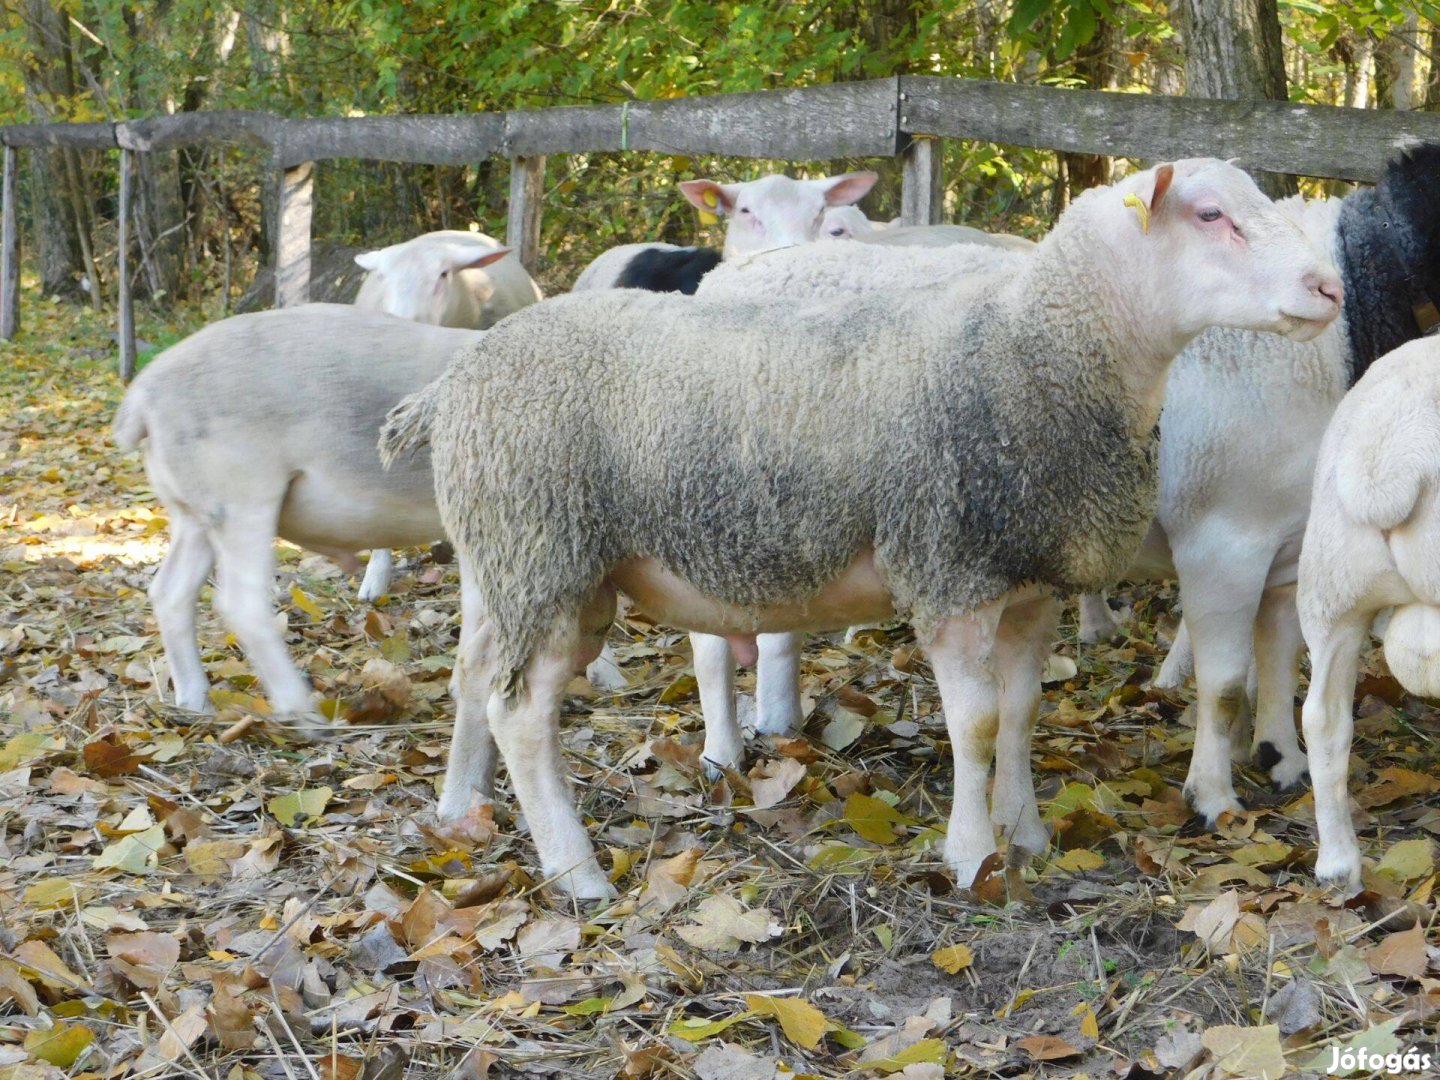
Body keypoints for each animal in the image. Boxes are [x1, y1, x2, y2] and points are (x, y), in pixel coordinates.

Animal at [388, 156, 1342, 898]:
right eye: (1211, 215)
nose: (1328, 288)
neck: (1031, 348)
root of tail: (455, 382)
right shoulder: (951, 567)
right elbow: (976, 725)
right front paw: (972, 855)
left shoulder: (1028, 579)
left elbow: (1024, 713)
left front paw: (1027, 833)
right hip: (543, 550)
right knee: (523, 714)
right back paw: (576, 870)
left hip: (512, 564)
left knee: (475, 677)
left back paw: (464, 810)